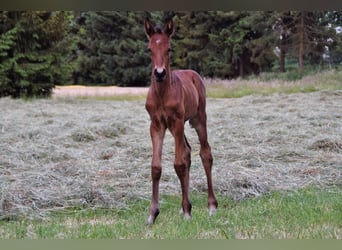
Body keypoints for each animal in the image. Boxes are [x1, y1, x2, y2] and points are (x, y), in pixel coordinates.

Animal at [144, 18, 216, 224]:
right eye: (149, 49)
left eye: (169, 48)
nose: (159, 73)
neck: (162, 93)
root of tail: (193, 73)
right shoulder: (156, 125)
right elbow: (156, 166)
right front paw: (153, 213)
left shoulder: (176, 122)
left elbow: (178, 164)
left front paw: (187, 212)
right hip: (181, 125)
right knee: (188, 152)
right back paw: (185, 204)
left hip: (198, 118)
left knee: (205, 154)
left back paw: (211, 205)